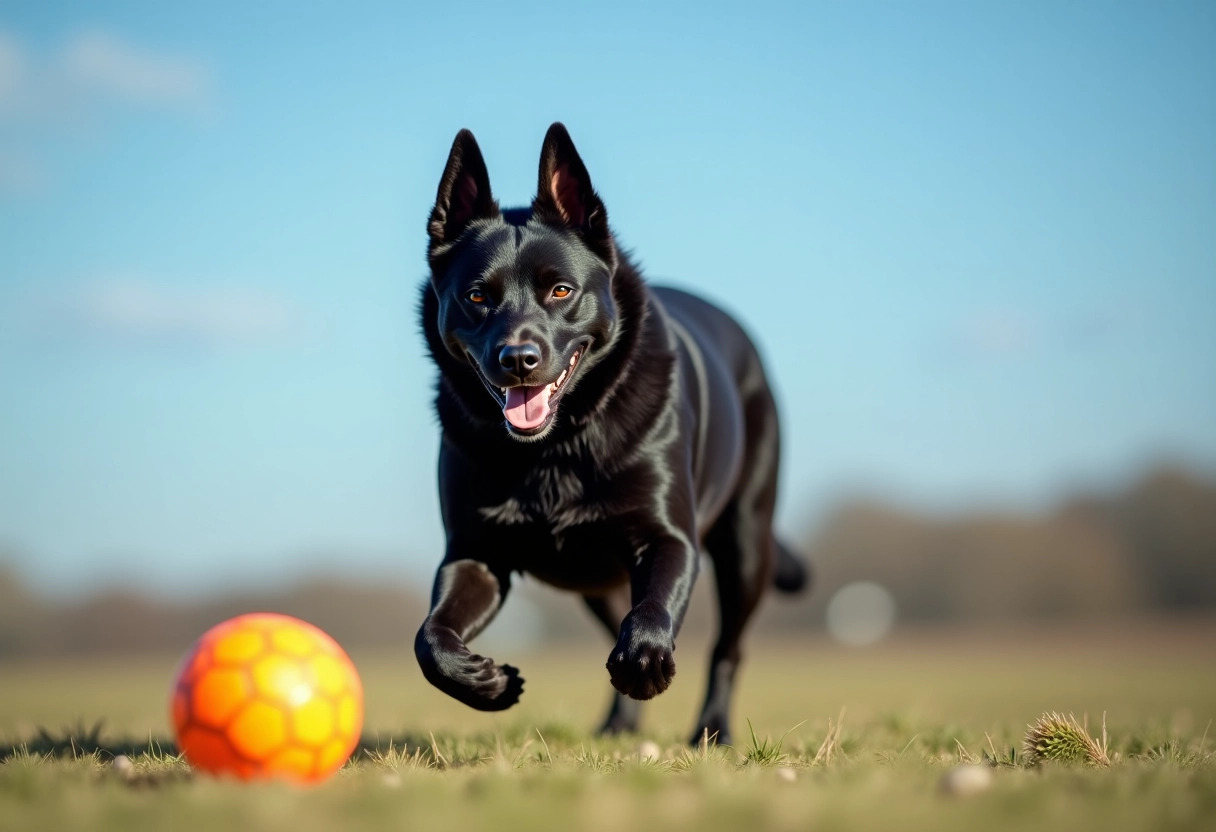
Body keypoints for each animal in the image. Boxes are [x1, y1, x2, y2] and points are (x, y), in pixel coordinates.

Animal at [418, 123, 807, 739]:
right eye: (477, 296)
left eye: (560, 291)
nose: (518, 360)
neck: (555, 446)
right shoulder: (474, 553)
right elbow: (430, 639)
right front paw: (489, 684)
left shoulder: (669, 539)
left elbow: (649, 616)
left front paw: (644, 665)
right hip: (594, 577)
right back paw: (619, 725)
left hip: (745, 544)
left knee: (727, 648)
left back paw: (712, 729)